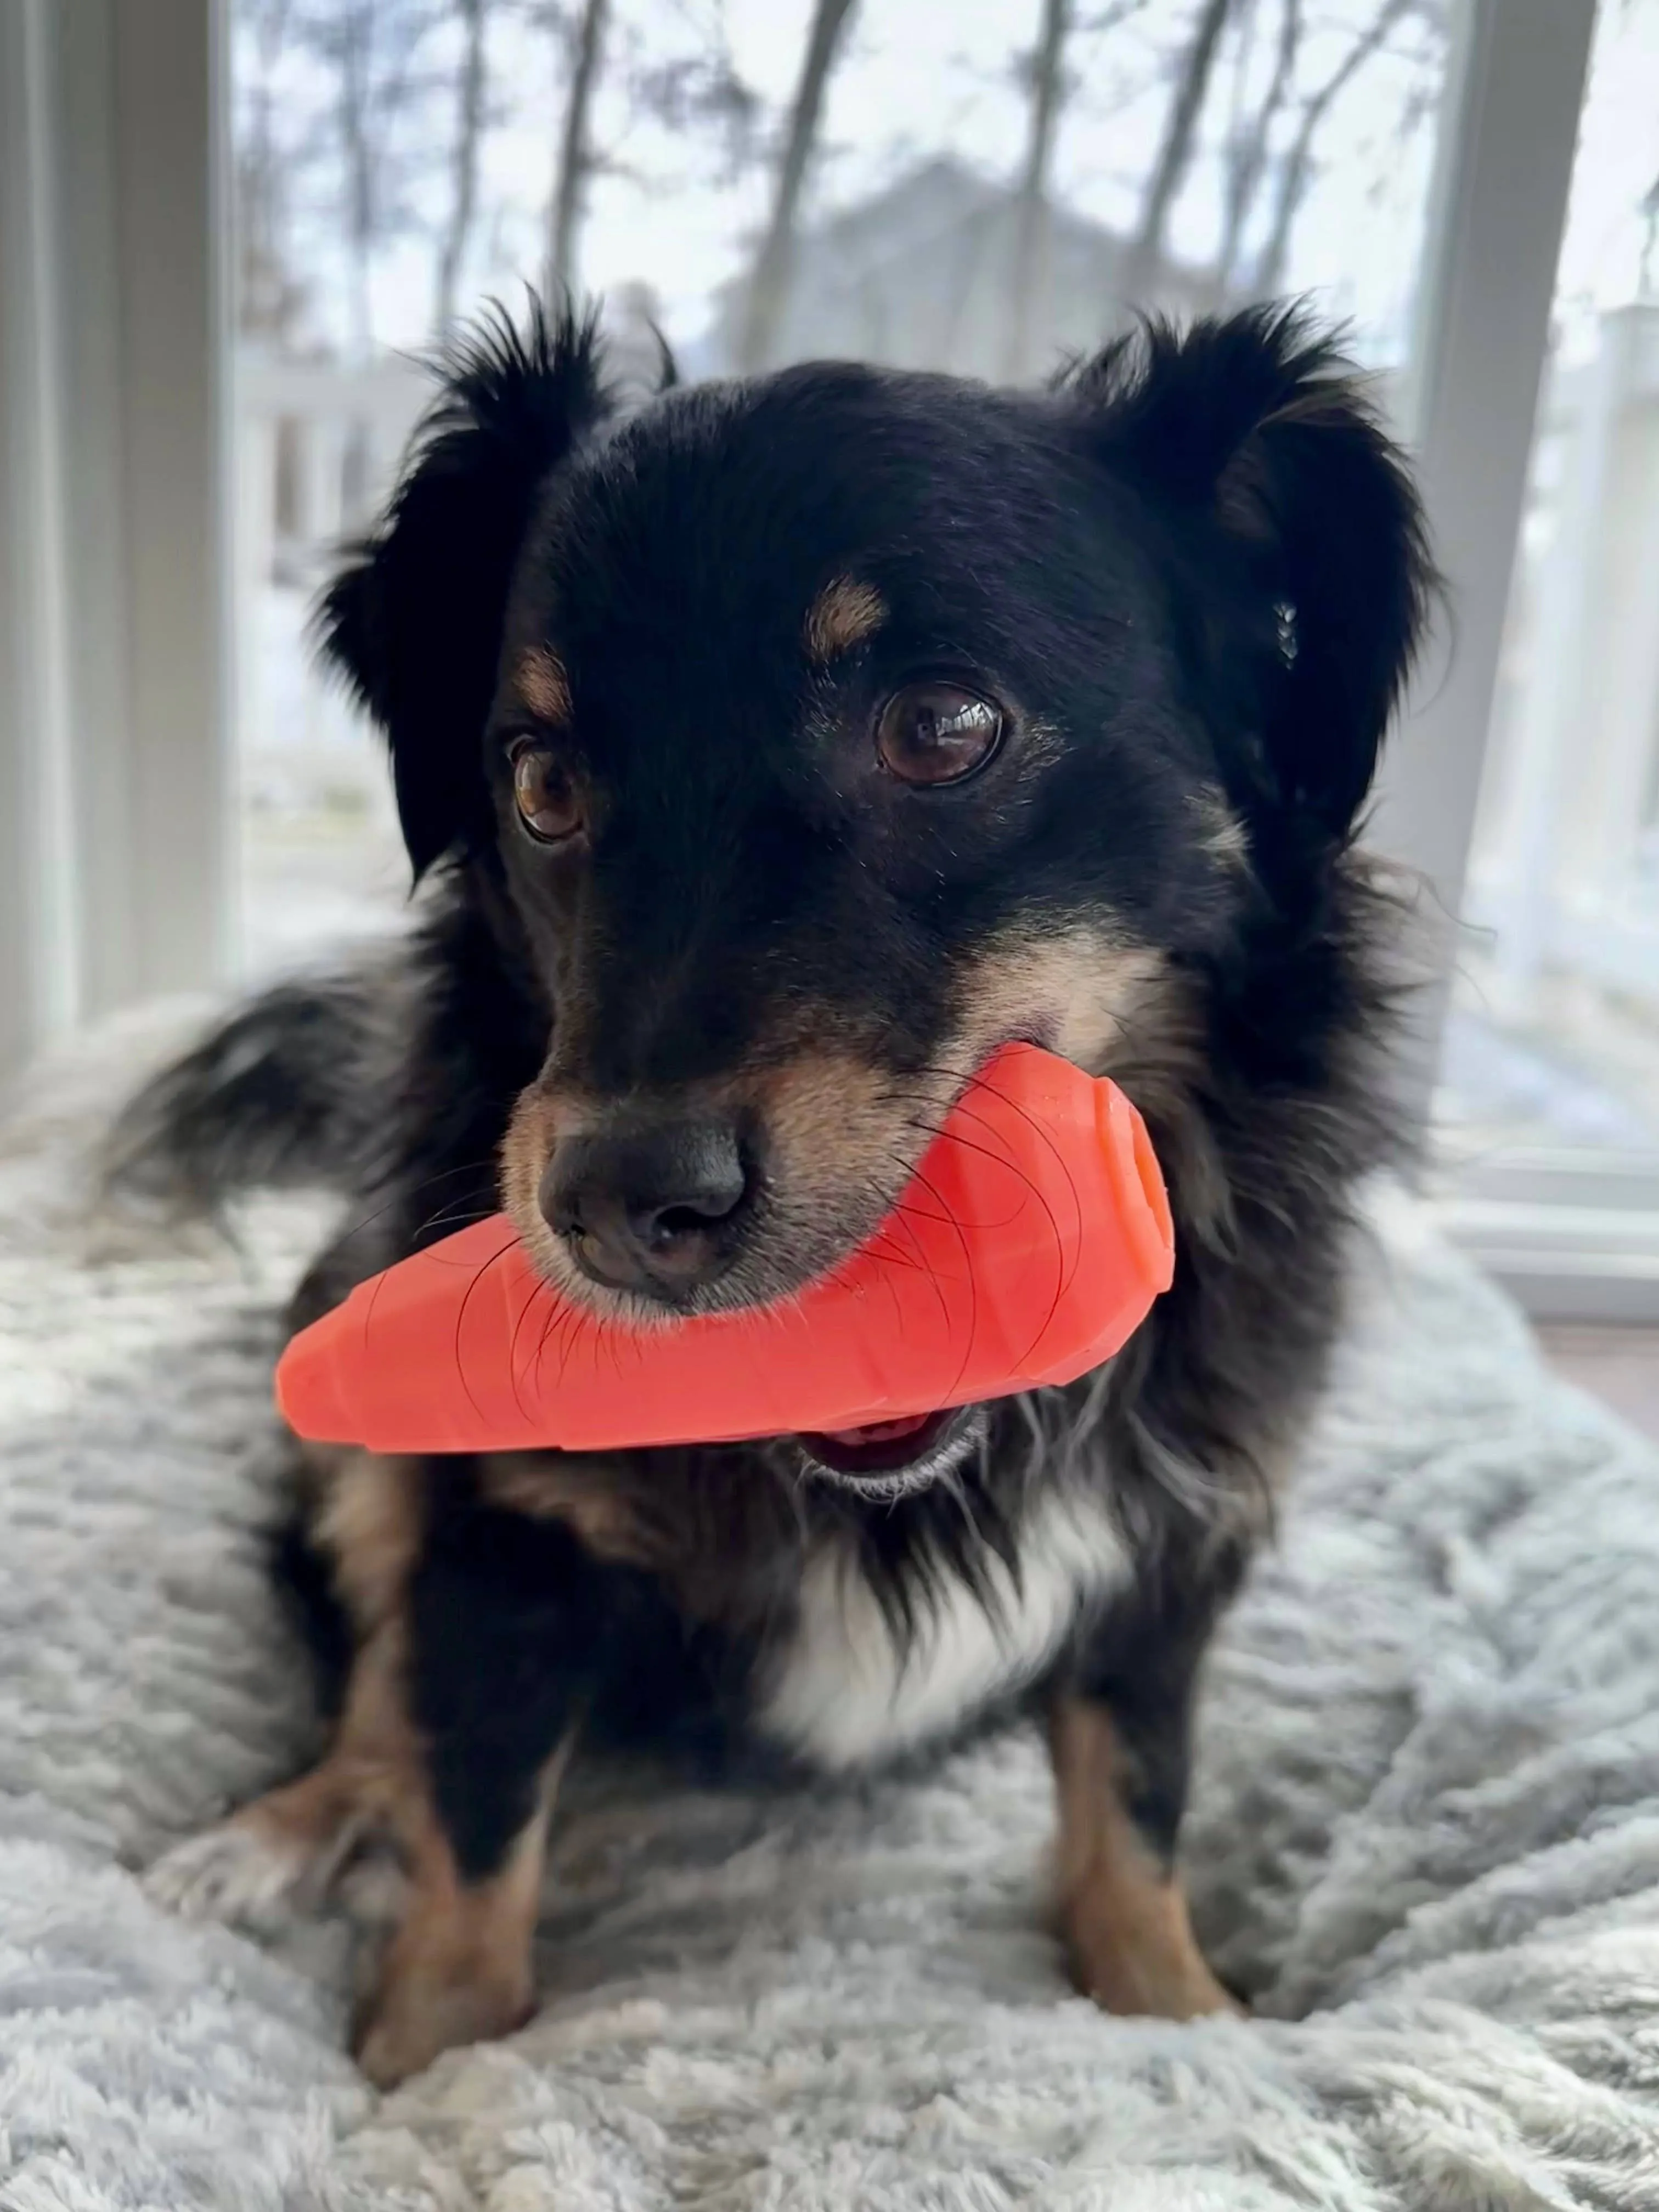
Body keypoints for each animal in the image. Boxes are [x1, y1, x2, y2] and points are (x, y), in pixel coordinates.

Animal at [120, 298, 1442, 2088]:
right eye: (540, 782)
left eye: (944, 728)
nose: (617, 1210)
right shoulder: (496, 1536)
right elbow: (475, 1823)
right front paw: (418, 2067)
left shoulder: (1180, 1547)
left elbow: (1137, 1799)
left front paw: (1179, 2010)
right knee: (376, 1673)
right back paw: (281, 1828)